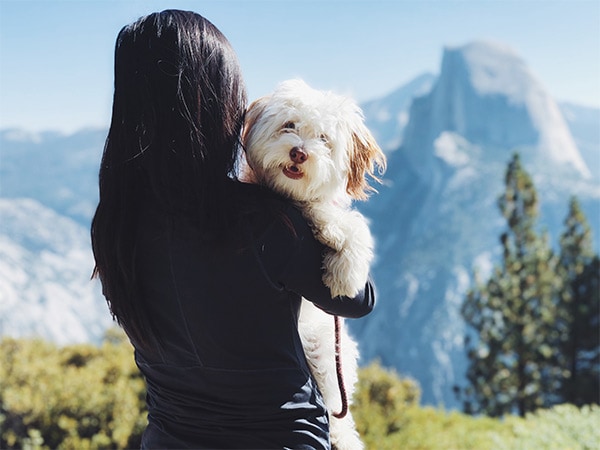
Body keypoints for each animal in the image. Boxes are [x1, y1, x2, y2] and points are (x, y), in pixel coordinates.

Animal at [241, 79, 386, 448]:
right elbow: (326, 214)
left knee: (336, 407)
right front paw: (334, 234)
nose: (299, 153)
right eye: (289, 125)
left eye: (324, 138)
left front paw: (345, 267)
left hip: (328, 350)